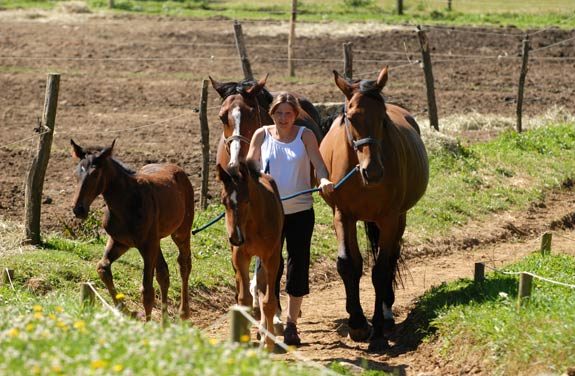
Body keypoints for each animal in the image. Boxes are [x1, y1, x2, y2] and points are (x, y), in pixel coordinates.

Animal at [69, 140, 196, 322]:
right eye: (77, 173)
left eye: (95, 174)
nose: (78, 209)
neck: (126, 203)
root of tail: (179, 170)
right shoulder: (120, 241)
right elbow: (103, 268)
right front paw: (127, 311)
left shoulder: (147, 245)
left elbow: (147, 291)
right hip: (156, 241)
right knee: (163, 273)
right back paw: (164, 322)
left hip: (181, 232)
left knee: (184, 264)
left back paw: (184, 313)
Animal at [216, 158, 284, 350]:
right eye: (223, 202)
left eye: (246, 201)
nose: (235, 237)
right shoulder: (240, 257)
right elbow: (244, 299)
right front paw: (243, 338)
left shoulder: (271, 258)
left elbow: (269, 302)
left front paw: (268, 343)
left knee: (261, 288)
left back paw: (264, 332)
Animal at [322, 66, 430, 352]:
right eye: (350, 117)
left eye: (383, 119)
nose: (373, 171)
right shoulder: (343, 215)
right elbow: (348, 264)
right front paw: (357, 324)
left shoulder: (390, 219)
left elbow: (380, 271)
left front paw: (379, 332)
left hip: (398, 219)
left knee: (390, 259)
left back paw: (387, 314)